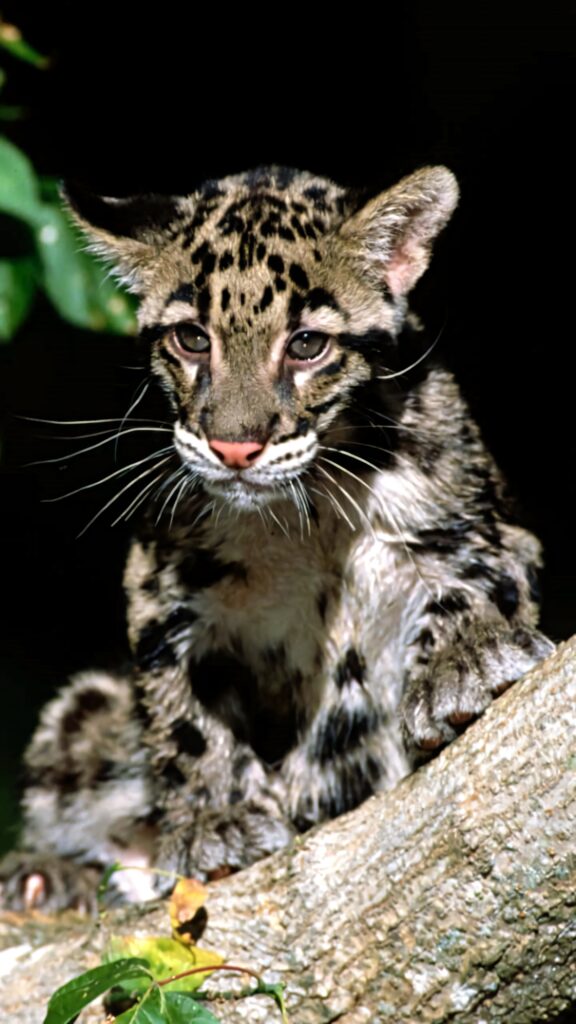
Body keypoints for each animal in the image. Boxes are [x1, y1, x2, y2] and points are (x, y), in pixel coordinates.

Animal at [0, 164, 554, 911]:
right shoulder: (161, 590)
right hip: (85, 714)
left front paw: (465, 660)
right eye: (191, 340)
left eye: (307, 346)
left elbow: (475, 580)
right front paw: (215, 819)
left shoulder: (488, 525)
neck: (306, 513)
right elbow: (181, 711)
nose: (234, 448)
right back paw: (46, 876)